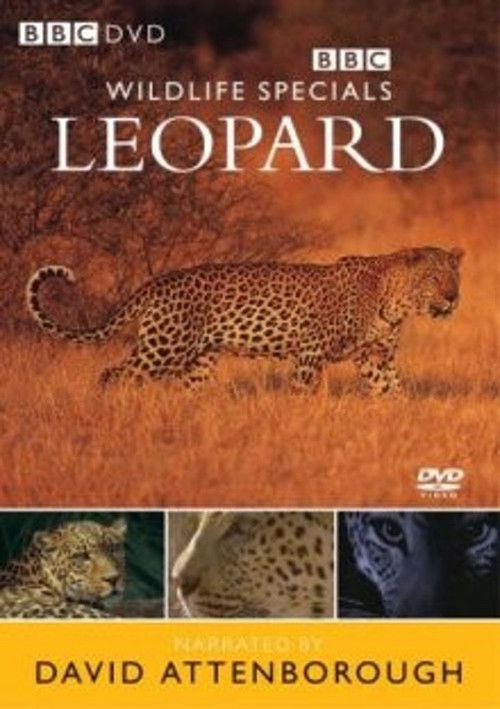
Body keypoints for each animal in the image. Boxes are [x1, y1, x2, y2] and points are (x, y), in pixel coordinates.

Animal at [26, 246, 463, 395]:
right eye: (434, 278)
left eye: (454, 276)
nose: (453, 297)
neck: (395, 303)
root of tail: (154, 282)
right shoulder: (310, 352)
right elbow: (301, 391)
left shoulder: (375, 358)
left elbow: (393, 390)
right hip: (162, 349)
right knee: (113, 374)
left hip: (199, 360)